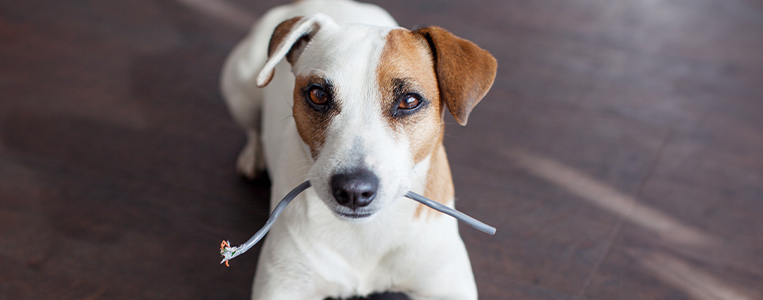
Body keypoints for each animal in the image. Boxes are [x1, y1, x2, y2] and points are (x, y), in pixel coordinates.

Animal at [219, 1, 496, 298]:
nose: (353, 190)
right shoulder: (283, 286)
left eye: (409, 101)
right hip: (241, 90)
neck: (364, 233)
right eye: (318, 95)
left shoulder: (448, 284)